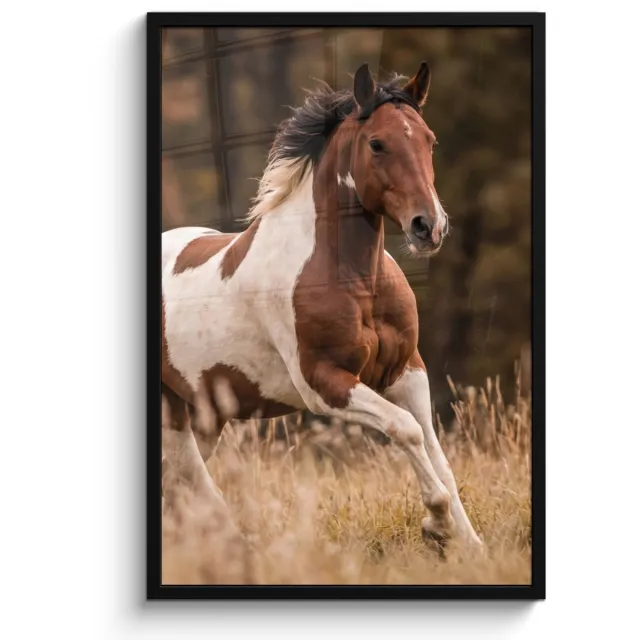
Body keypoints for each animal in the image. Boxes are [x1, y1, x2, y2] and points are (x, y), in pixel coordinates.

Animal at [161, 61, 484, 553]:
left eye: (429, 139)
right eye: (377, 143)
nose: (428, 226)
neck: (352, 278)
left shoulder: (406, 370)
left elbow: (434, 449)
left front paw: (470, 545)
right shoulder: (324, 383)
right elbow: (405, 428)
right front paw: (436, 523)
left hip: (199, 414)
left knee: (181, 483)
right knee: (189, 482)